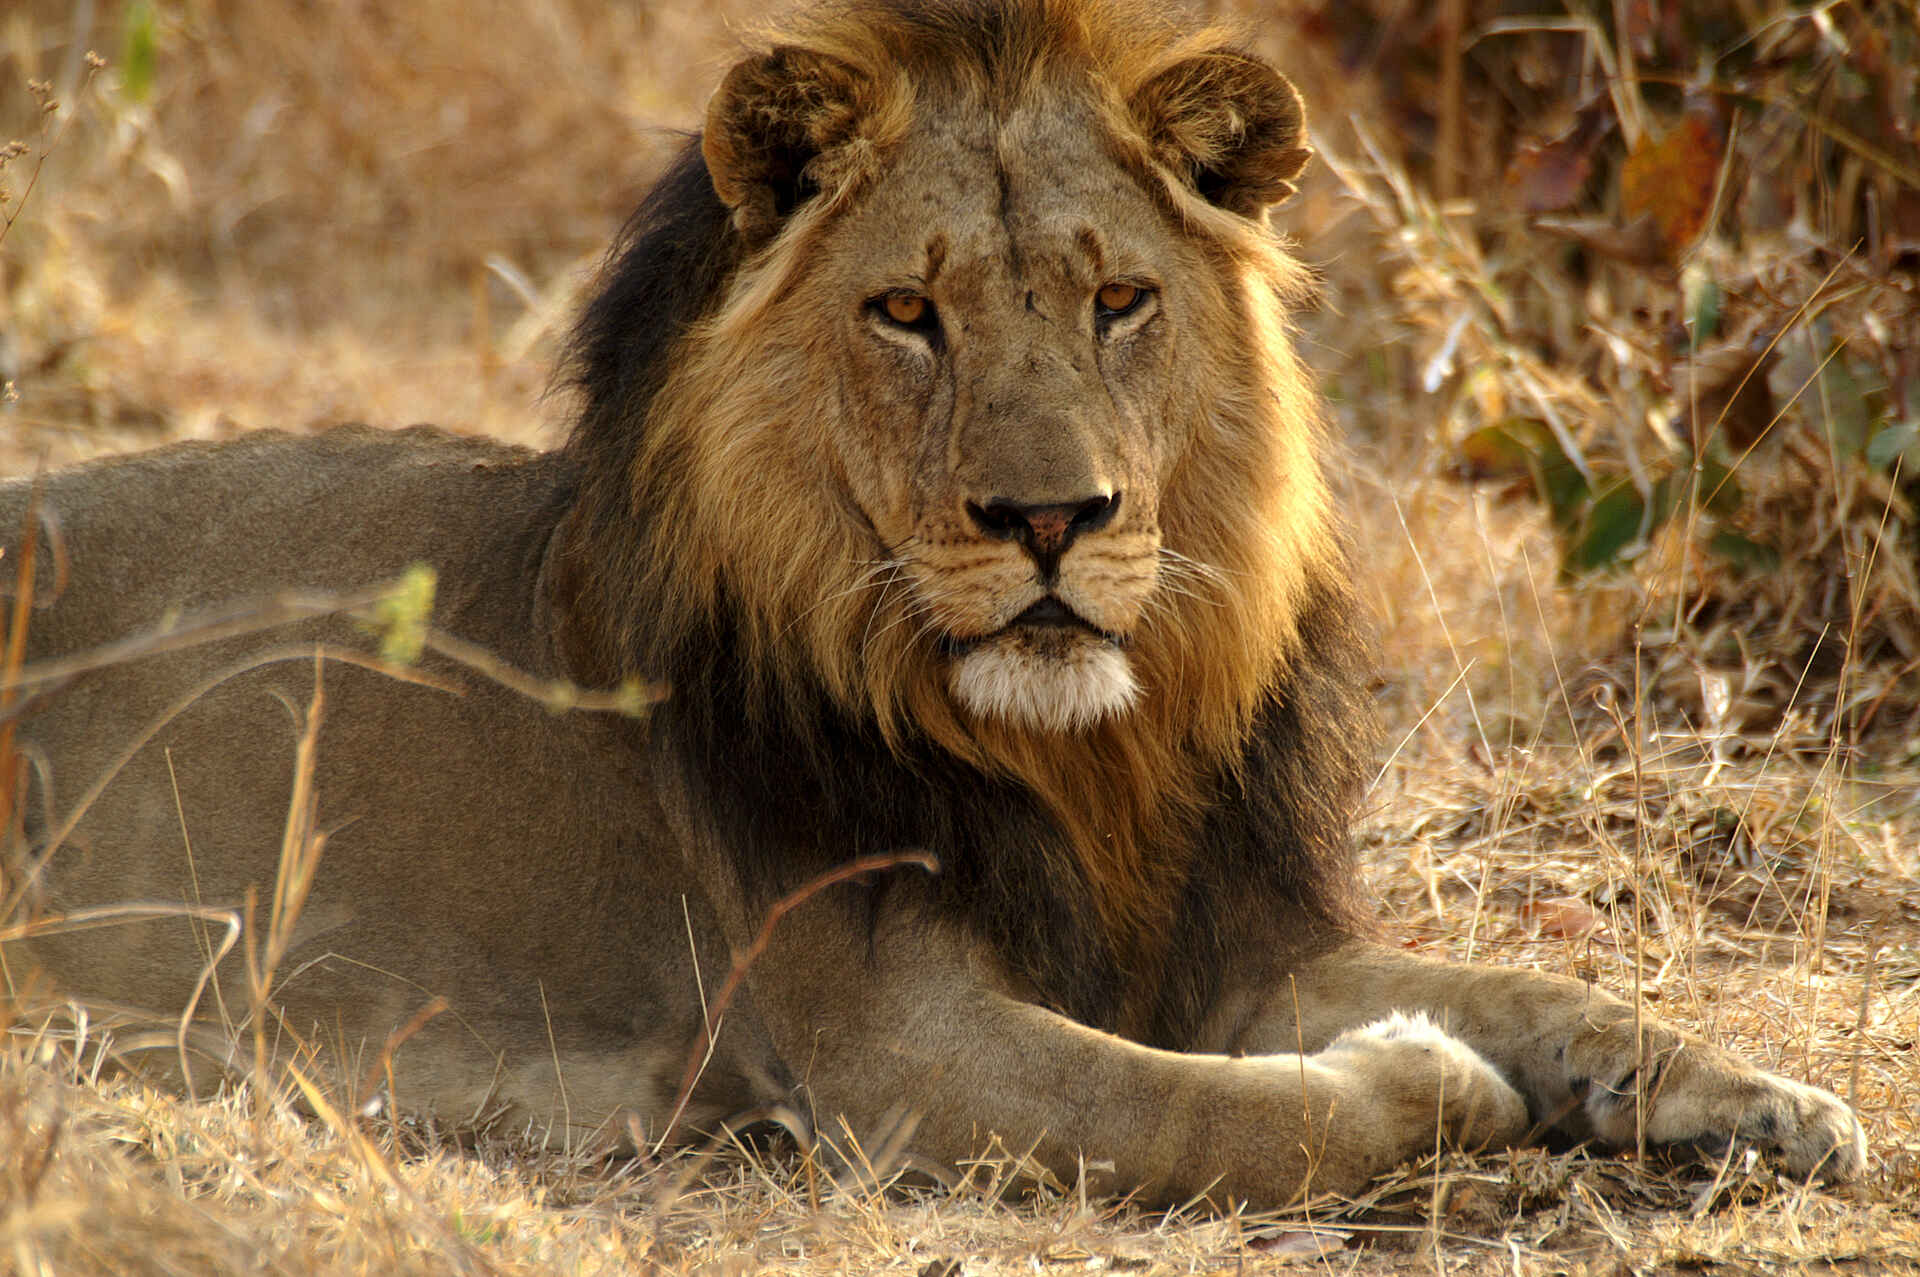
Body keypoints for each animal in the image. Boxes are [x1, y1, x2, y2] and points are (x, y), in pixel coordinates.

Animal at [1, 0, 1865, 1208]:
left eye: (1119, 302)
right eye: (909, 312)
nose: (1050, 517)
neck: (1078, 761)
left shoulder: (1214, 945)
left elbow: (1543, 992)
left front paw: (1767, 1102)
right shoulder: (883, 1049)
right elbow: (1232, 1122)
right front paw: (1431, 1081)